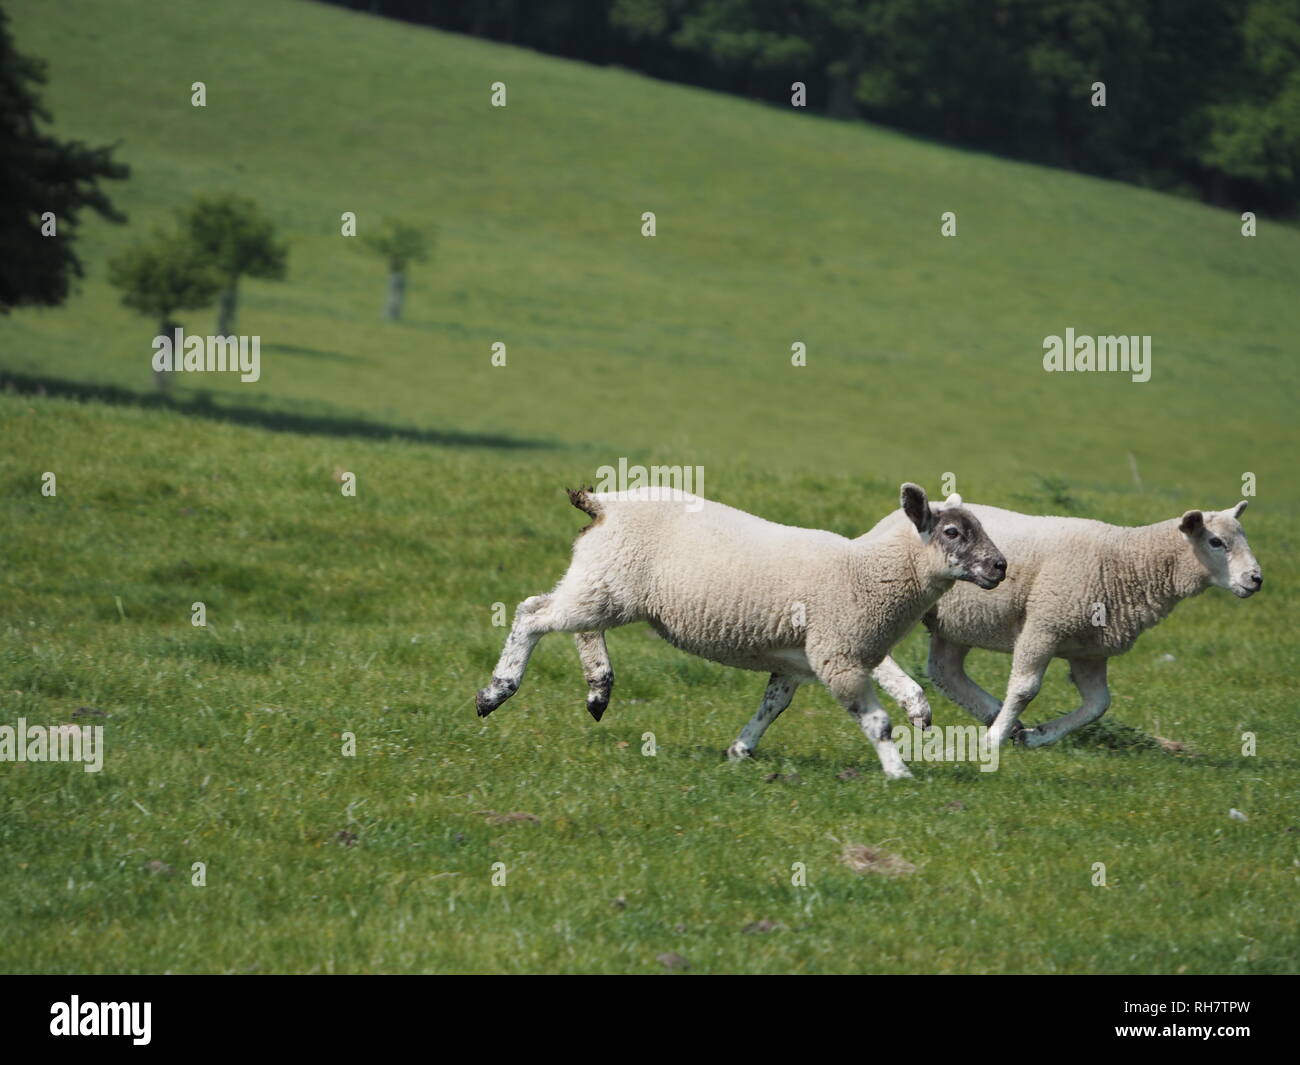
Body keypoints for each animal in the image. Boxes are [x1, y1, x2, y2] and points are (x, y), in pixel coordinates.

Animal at [473, 481, 1008, 775]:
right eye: (953, 532)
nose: (1001, 567)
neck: (868, 571)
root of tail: (607, 503)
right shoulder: (836, 646)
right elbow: (874, 716)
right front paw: (900, 766)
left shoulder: (811, 653)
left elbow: (774, 704)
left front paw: (740, 749)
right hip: (610, 581)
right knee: (533, 614)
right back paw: (497, 690)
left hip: (606, 581)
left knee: (576, 623)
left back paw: (598, 687)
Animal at [868, 499, 1263, 749]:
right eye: (1216, 541)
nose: (1256, 579)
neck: (1127, 561)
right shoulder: (1045, 625)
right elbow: (1025, 689)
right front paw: (993, 741)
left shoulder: (1089, 651)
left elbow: (1098, 704)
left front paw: (1034, 735)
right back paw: (916, 701)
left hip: (957, 621)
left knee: (944, 670)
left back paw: (992, 713)